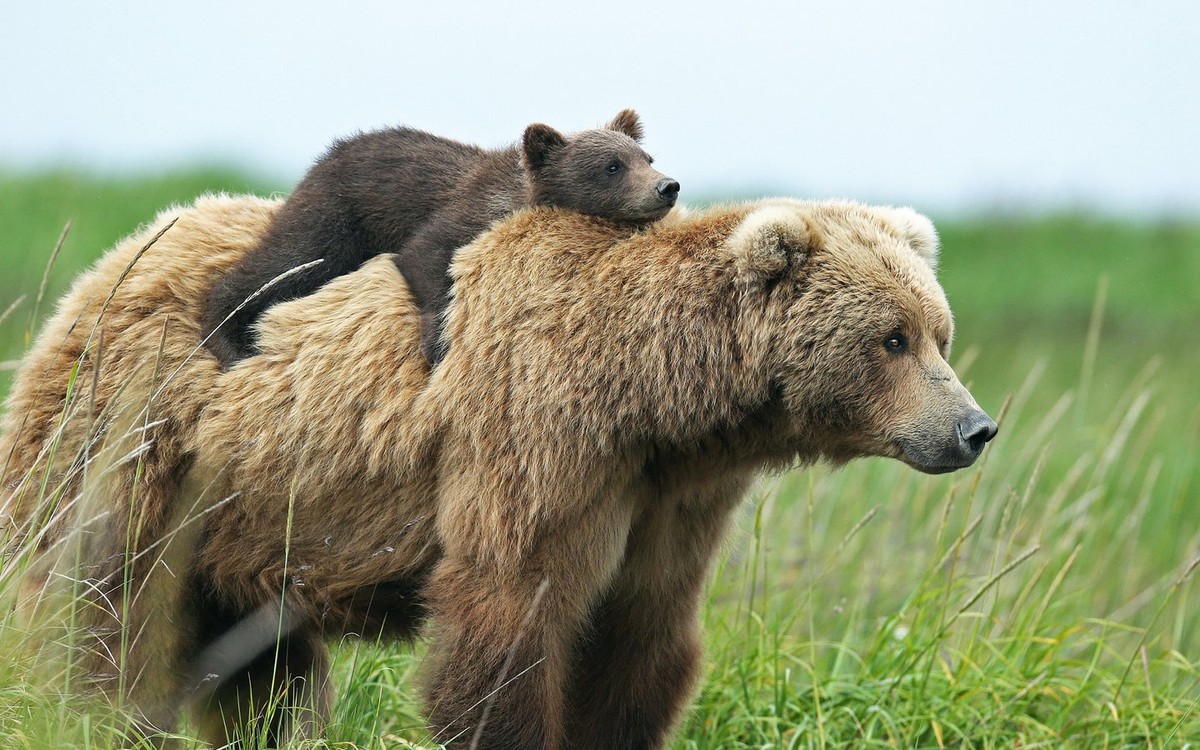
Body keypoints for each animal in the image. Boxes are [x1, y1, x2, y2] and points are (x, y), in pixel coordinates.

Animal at [0, 194, 993, 748]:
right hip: (137, 443)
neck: (654, 399)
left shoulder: (669, 498)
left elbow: (641, 639)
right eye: (892, 338)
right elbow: (509, 623)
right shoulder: (536, 442)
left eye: (938, 331)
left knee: (261, 668)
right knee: (100, 609)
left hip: (248, 519)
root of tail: (107, 265)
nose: (974, 428)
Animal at [201, 109, 681, 369]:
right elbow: (426, 256)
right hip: (336, 214)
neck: (517, 195)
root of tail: (327, 155)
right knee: (286, 262)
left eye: (647, 156)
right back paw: (227, 338)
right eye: (612, 166)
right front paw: (438, 342)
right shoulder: (461, 214)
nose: (667, 186)